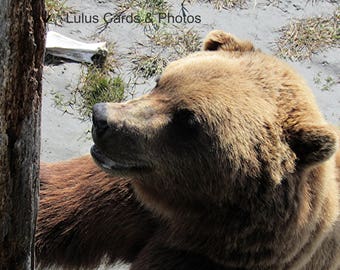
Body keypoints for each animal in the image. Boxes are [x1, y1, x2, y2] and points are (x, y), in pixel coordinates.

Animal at [35, 31, 338, 270]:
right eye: (160, 81)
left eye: (188, 120)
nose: (101, 118)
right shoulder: (136, 198)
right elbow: (65, 206)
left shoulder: (198, 256)